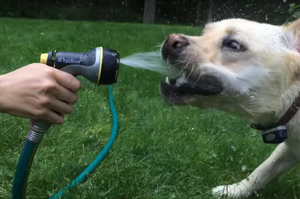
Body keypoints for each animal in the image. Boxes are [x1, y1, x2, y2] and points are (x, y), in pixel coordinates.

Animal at [161, 17, 300, 198]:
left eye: (234, 45)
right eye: (204, 32)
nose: (171, 40)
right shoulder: (288, 149)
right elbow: (263, 170)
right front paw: (233, 190)